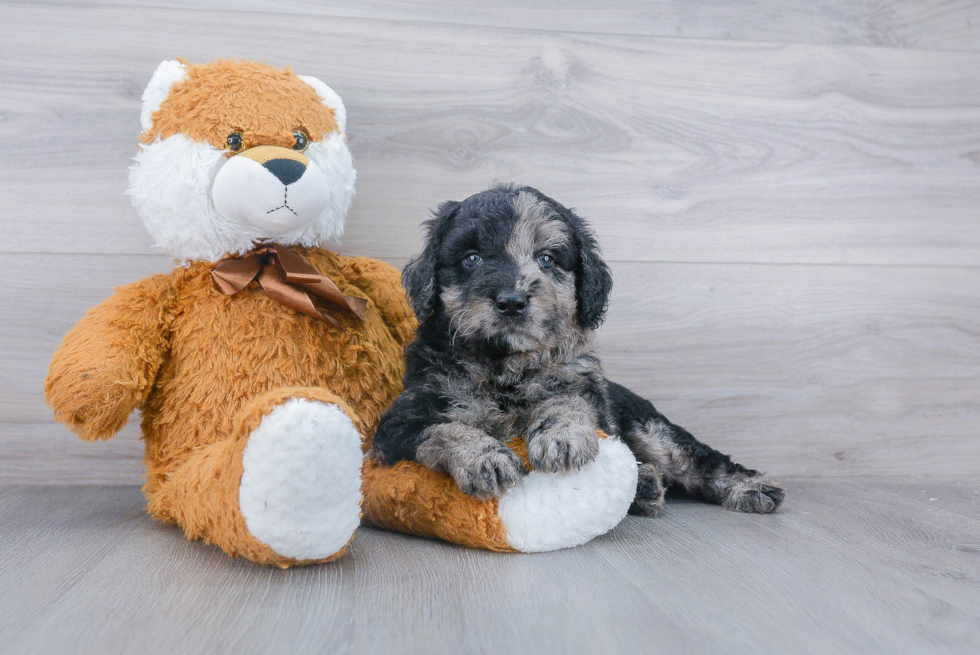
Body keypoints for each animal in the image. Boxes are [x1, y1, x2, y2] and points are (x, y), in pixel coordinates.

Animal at [372, 182, 784, 516]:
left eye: (546, 258)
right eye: (471, 258)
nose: (512, 302)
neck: (505, 366)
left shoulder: (584, 388)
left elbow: (568, 401)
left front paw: (562, 437)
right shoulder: (401, 423)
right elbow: (446, 429)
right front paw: (485, 459)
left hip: (651, 430)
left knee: (697, 459)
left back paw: (751, 487)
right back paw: (647, 486)